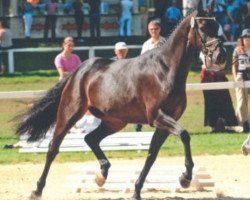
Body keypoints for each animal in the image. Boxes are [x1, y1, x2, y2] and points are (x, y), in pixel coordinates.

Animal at [15, 0, 227, 199]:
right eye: (202, 27)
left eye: (216, 25)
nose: (220, 56)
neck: (166, 69)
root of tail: (80, 70)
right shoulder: (157, 116)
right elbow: (184, 135)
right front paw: (185, 178)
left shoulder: (165, 122)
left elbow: (152, 154)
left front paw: (137, 191)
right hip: (69, 114)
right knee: (53, 148)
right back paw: (37, 190)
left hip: (114, 121)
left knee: (90, 138)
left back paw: (101, 174)